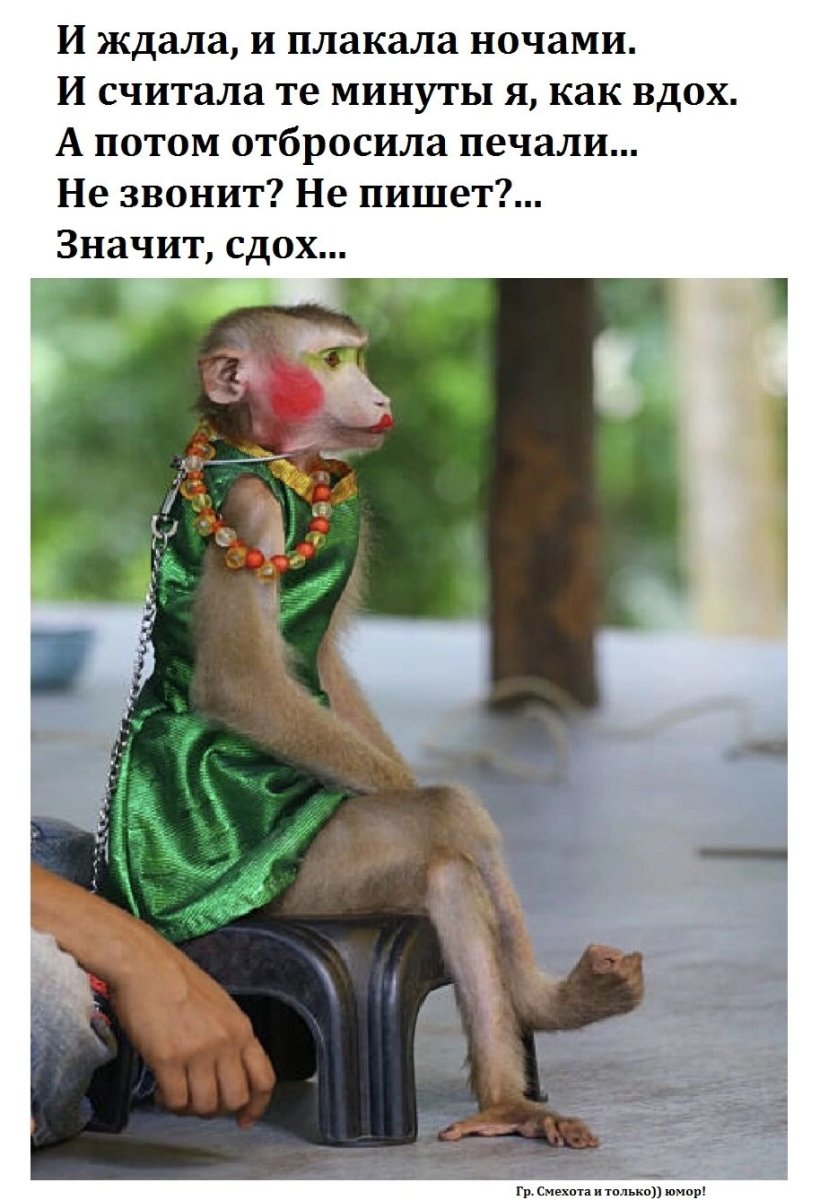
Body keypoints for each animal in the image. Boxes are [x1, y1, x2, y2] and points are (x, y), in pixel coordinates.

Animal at [104, 303, 644, 1148]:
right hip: (292, 881)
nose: (378, 394)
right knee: (446, 830)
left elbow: (320, 667)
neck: (269, 459)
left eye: (355, 357)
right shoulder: (251, 510)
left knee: (449, 874)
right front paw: (411, 790)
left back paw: (516, 1074)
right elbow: (244, 685)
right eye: (330, 361)